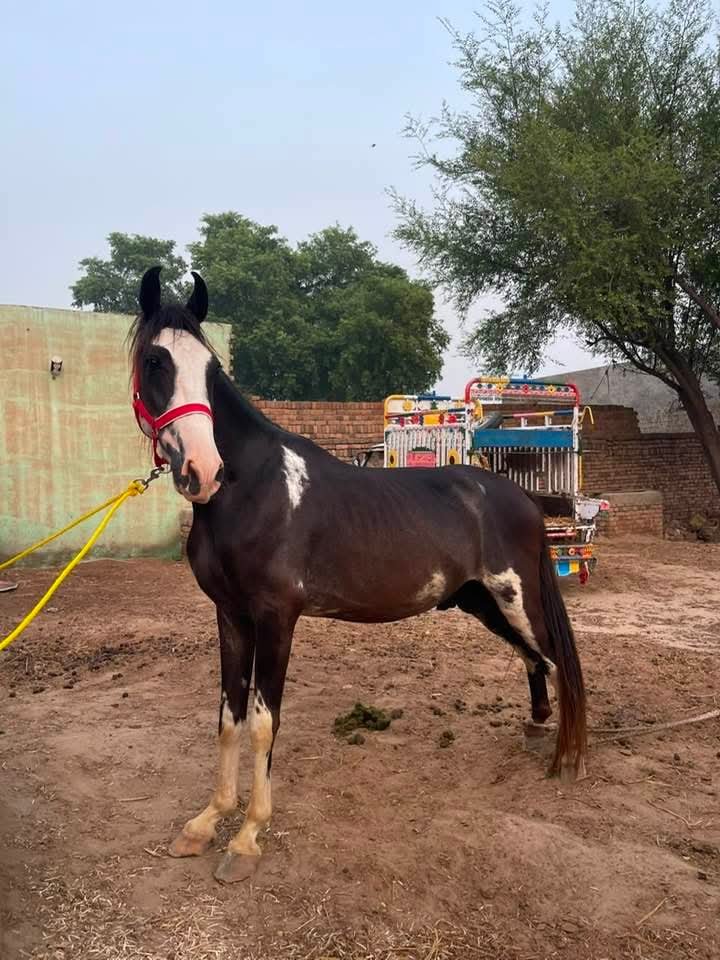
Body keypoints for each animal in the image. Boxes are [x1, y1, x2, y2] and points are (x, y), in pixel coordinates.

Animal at [129, 266, 587, 884]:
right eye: (155, 362)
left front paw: (247, 837)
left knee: (558, 661)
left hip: (516, 597)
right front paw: (205, 824)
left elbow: (263, 722)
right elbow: (228, 717)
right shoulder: (231, 616)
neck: (251, 489)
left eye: (211, 369)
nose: (203, 470)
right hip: (483, 602)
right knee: (534, 659)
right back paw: (538, 731)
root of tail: (521, 498)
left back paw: (569, 757)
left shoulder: (276, 618)